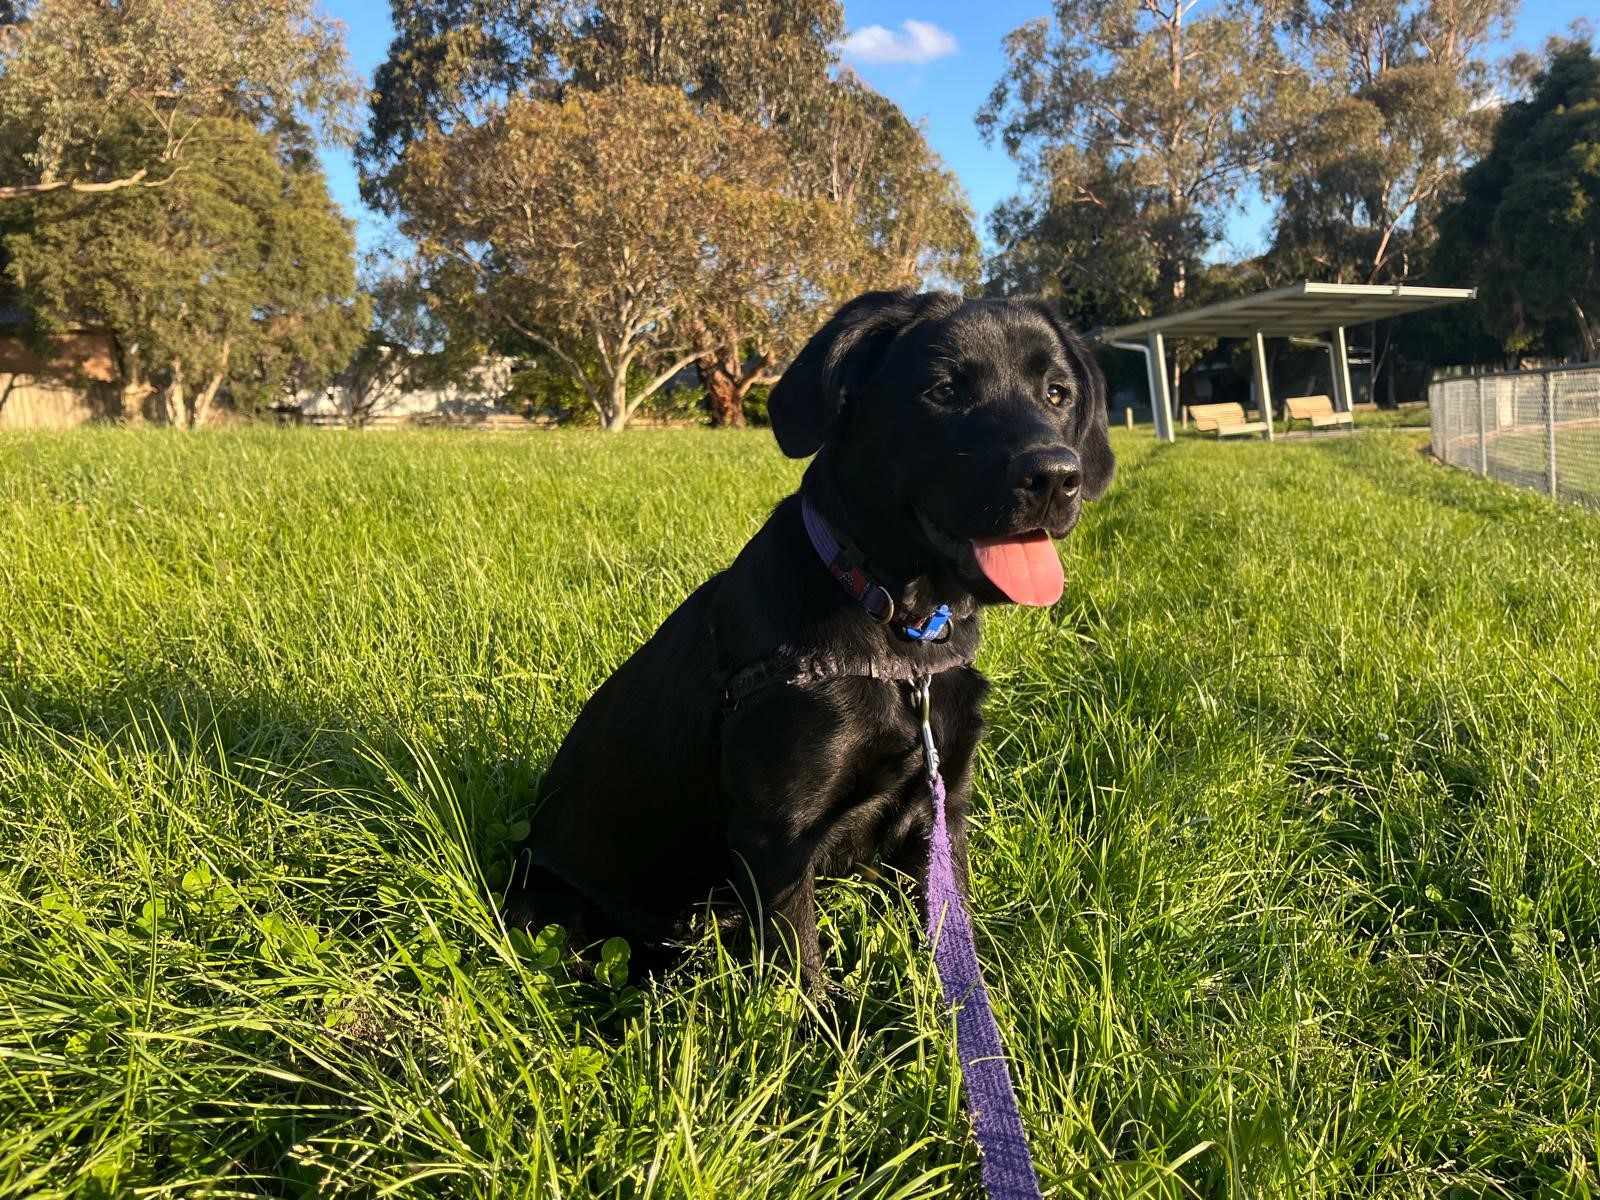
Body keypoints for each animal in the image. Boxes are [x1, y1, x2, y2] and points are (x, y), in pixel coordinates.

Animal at [512, 289, 1113, 985]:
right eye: (943, 390)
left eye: (1057, 393)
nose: (1055, 477)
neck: (899, 635)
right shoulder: (778, 837)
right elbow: (801, 971)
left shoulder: (942, 806)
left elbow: (948, 929)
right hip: (556, 913)